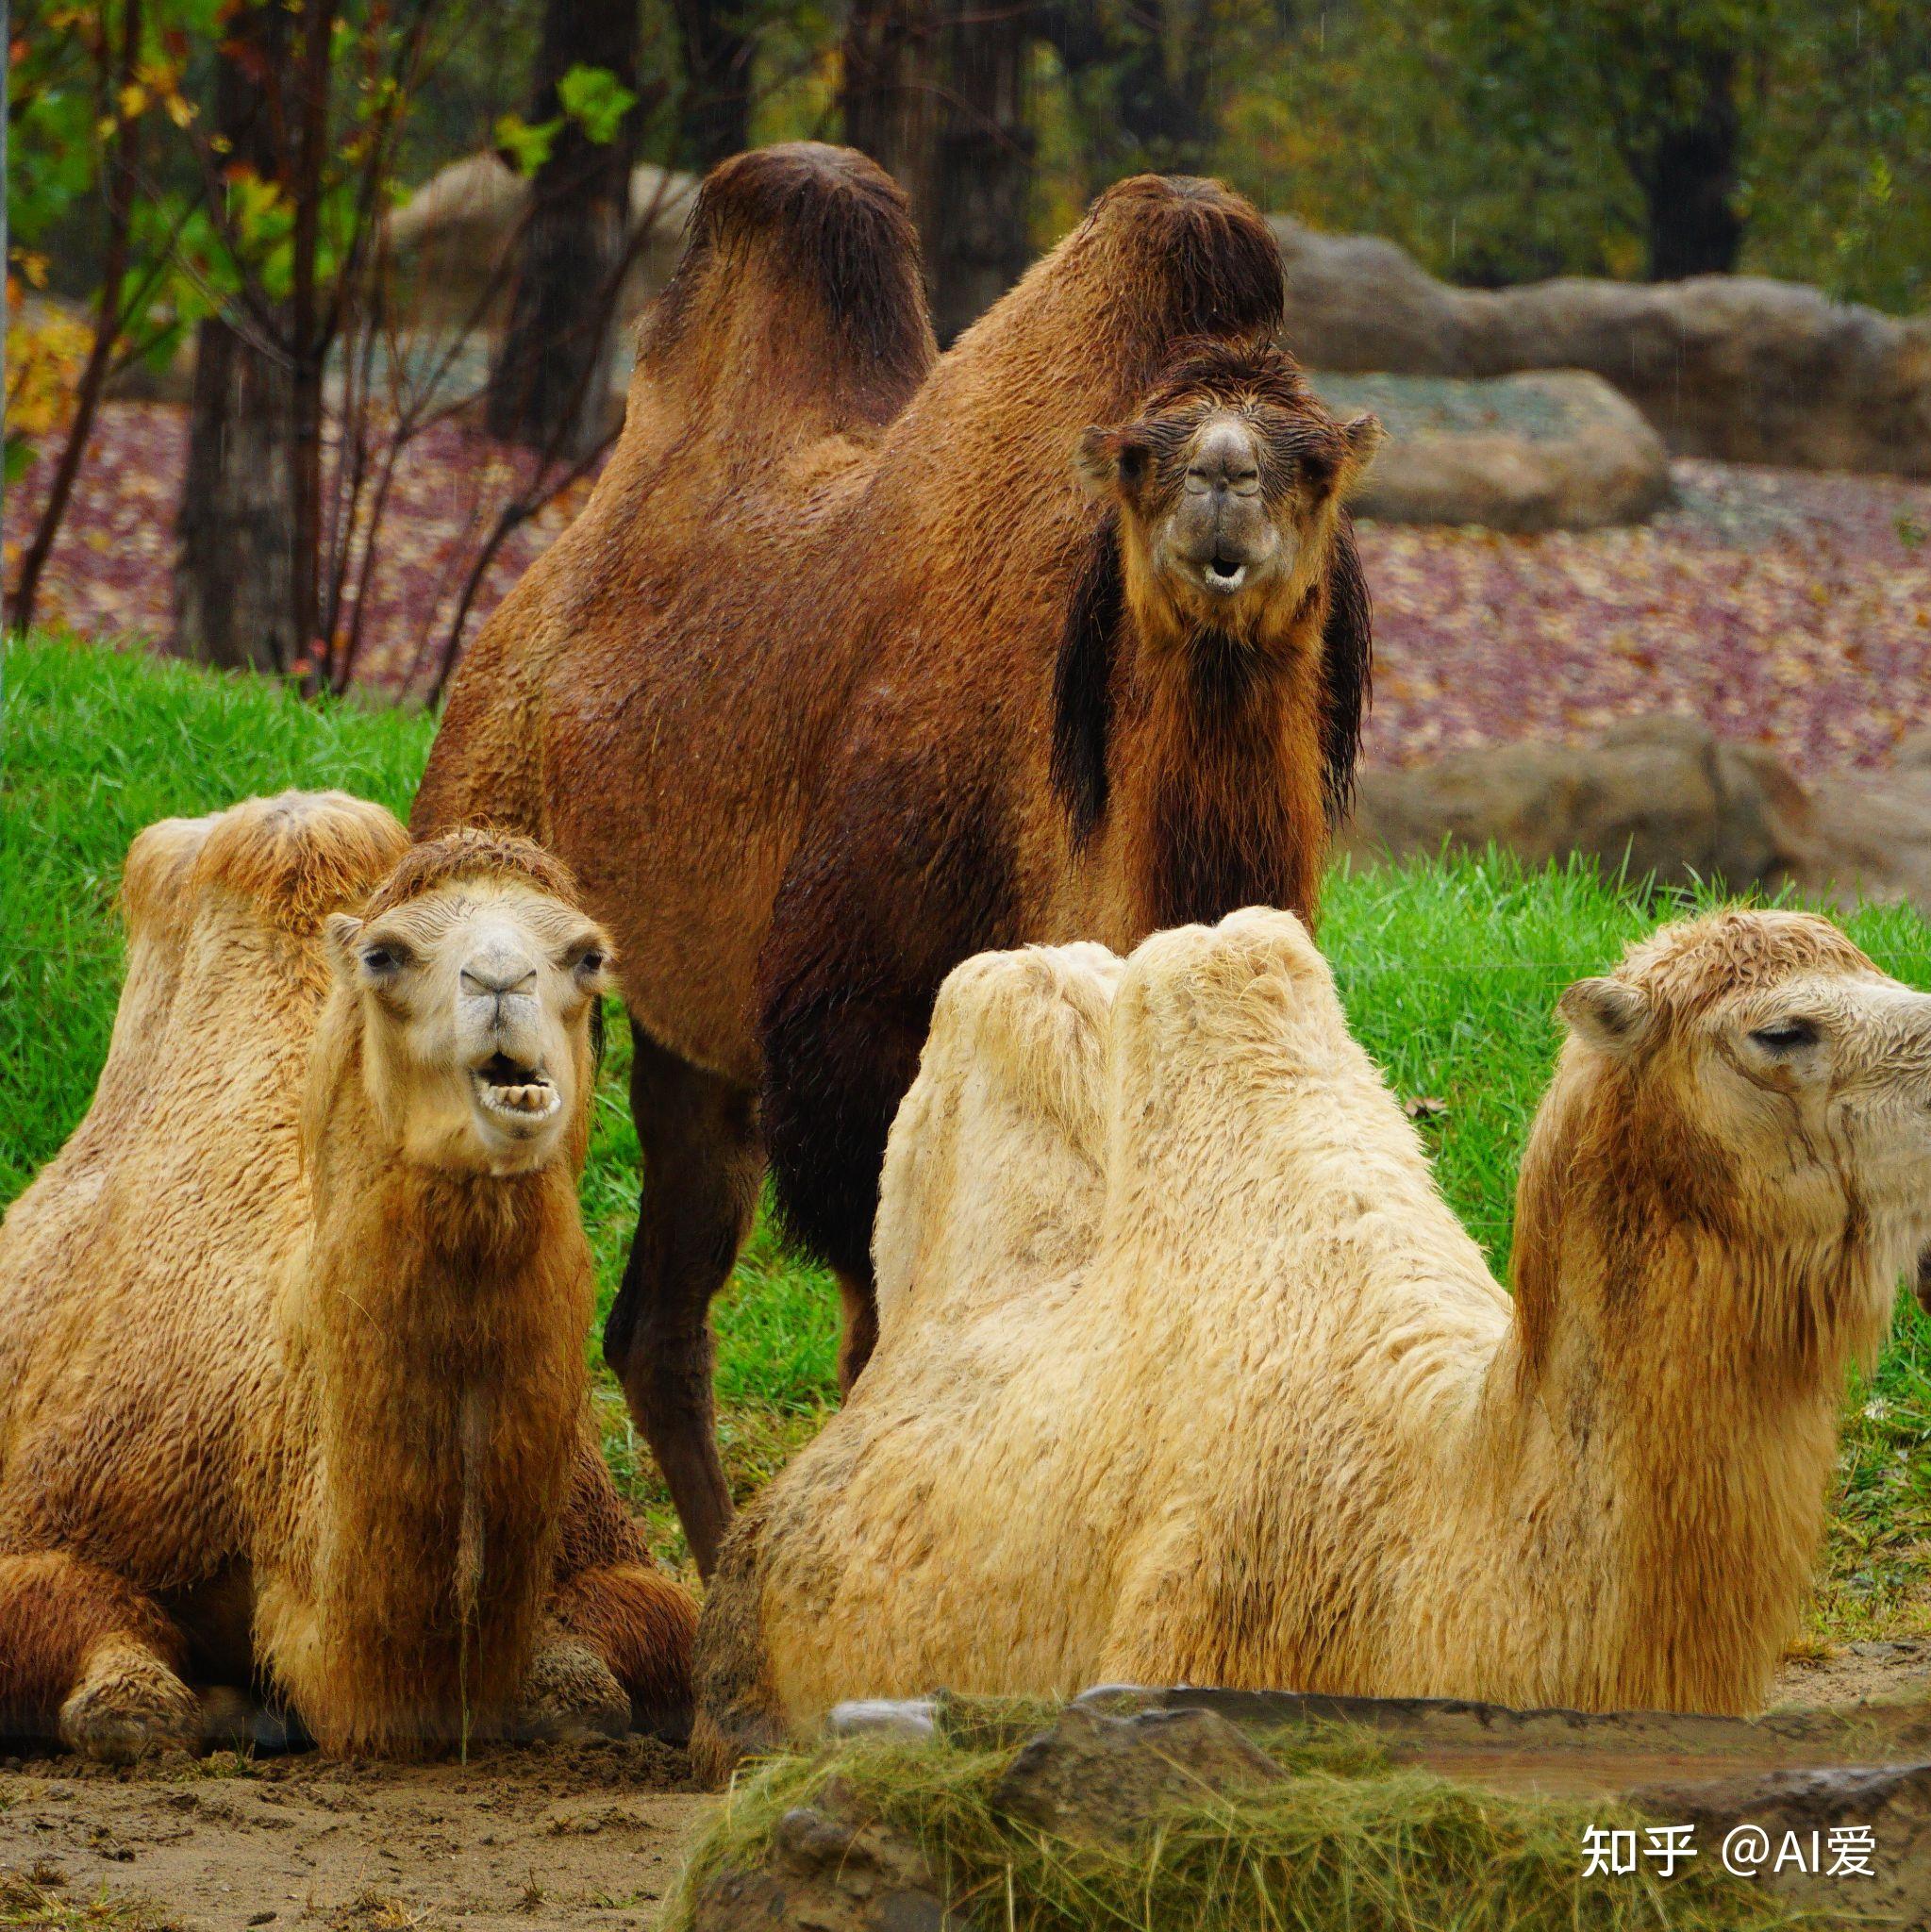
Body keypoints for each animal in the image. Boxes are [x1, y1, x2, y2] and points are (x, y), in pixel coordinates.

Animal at [0, 791, 694, 1761]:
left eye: (589, 957)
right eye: (385, 955)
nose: (501, 986)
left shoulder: (607, 1546)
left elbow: (612, 1671)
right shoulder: (67, 1502)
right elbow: (128, 1707)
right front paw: (213, 1705)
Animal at [415, 146, 1382, 1568]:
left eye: (1313, 462)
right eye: (1140, 457)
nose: (1222, 495)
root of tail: (530, 600)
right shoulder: (852, 1060)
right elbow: (882, 1356)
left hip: (699, 1047)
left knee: (656, 1326)